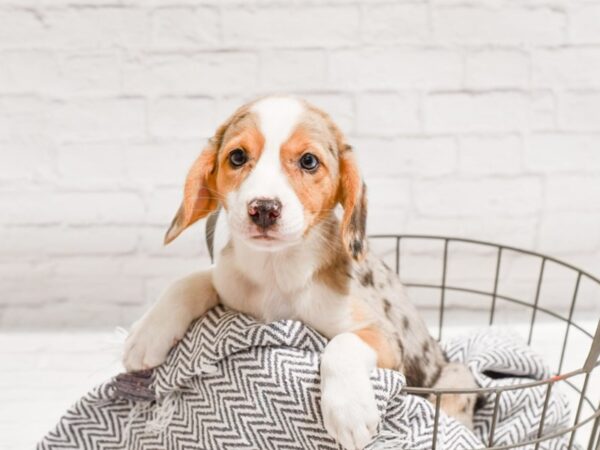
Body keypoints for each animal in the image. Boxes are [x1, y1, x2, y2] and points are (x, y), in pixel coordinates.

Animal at [123, 96, 478, 448]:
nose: (263, 209)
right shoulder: (228, 283)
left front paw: (349, 410)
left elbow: (342, 344)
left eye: (308, 161)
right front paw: (147, 333)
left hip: (456, 375)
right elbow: (193, 280)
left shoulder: (387, 340)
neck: (276, 270)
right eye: (237, 157)